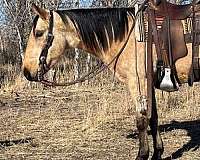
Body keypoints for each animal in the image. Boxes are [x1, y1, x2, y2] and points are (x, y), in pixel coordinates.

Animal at [21, 0, 200, 159]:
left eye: (38, 33)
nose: (27, 71)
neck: (127, 37)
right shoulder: (147, 83)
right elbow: (153, 117)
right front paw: (157, 153)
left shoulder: (137, 82)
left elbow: (141, 120)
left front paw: (142, 155)